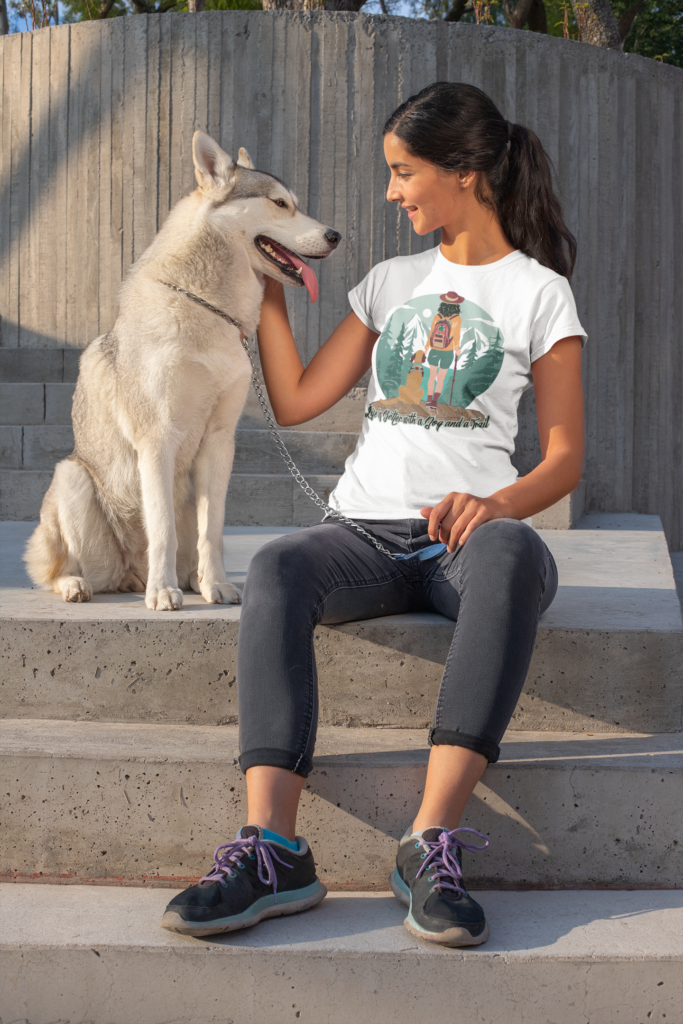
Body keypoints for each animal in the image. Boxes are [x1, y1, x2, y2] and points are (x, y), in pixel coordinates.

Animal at [25, 128, 339, 606]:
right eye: (280, 203)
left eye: (296, 203)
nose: (336, 235)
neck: (209, 308)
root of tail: (128, 574)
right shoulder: (157, 438)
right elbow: (162, 530)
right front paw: (162, 593)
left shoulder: (220, 442)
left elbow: (213, 531)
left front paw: (218, 585)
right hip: (72, 478)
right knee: (60, 568)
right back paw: (88, 584)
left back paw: (194, 580)